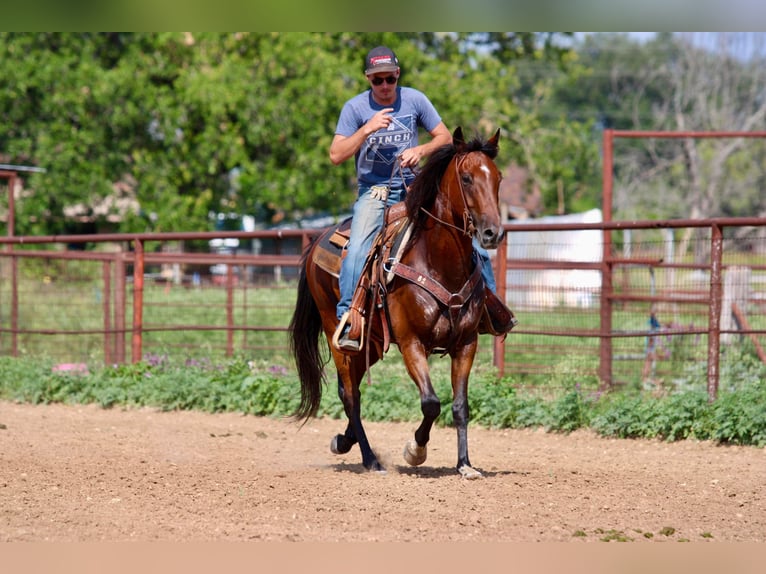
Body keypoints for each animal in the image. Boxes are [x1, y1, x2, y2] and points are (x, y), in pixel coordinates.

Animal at [288, 127, 504, 482]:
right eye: (467, 177)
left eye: (498, 178)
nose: (492, 233)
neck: (439, 264)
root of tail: (318, 241)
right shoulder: (411, 343)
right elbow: (431, 402)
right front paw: (415, 450)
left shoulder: (466, 344)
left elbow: (461, 406)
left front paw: (465, 464)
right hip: (337, 335)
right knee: (351, 395)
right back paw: (370, 459)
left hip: (372, 343)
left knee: (350, 390)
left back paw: (344, 441)